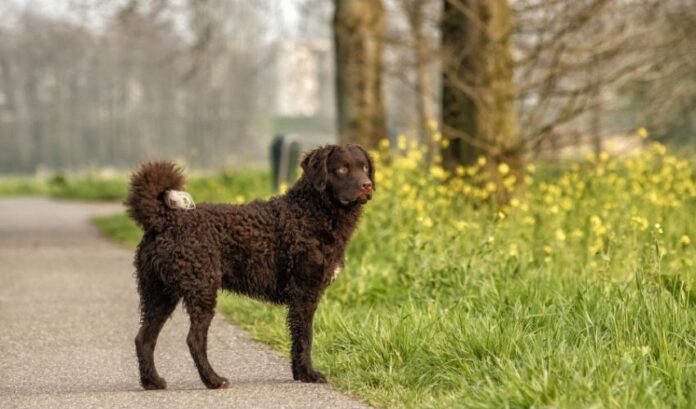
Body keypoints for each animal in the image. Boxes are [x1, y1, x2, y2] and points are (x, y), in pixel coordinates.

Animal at [125, 143, 376, 388]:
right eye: (342, 169)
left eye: (364, 167)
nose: (367, 185)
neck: (310, 213)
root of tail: (165, 219)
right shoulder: (304, 293)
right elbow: (305, 337)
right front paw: (309, 374)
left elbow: (297, 338)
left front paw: (299, 373)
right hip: (201, 290)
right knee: (193, 339)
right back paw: (213, 380)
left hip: (159, 294)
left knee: (144, 338)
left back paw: (152, 381)